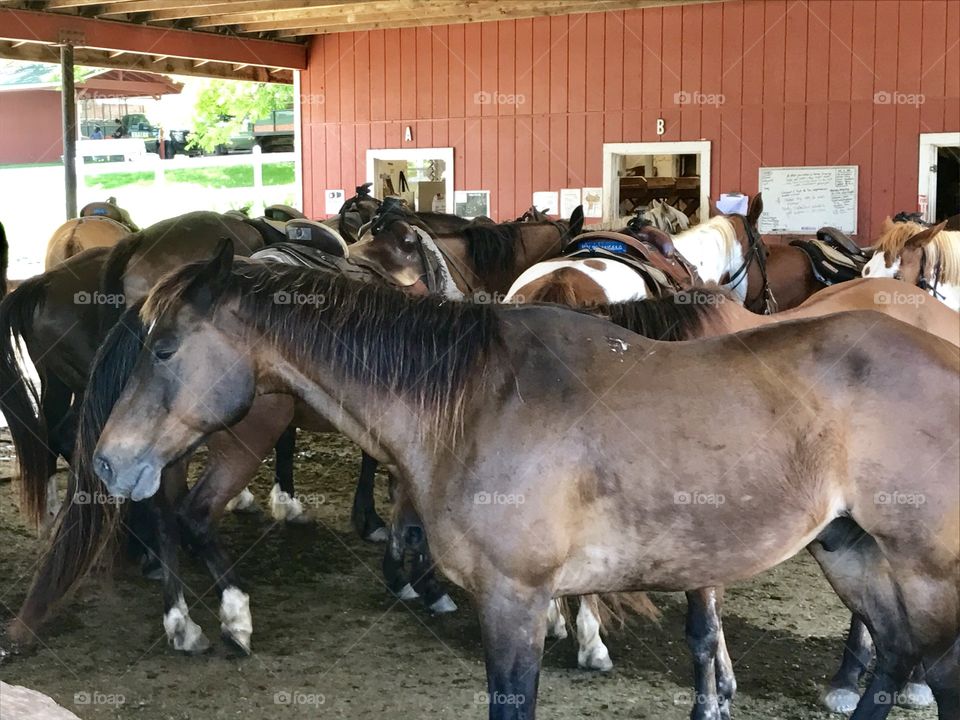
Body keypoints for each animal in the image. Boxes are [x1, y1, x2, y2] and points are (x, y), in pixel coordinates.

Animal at [90, 244, 959, 720]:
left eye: (164, 347)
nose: (105, 461)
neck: (472, 398)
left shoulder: (514, 599)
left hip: (919, 568)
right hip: (849, 551)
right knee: (892, 657)